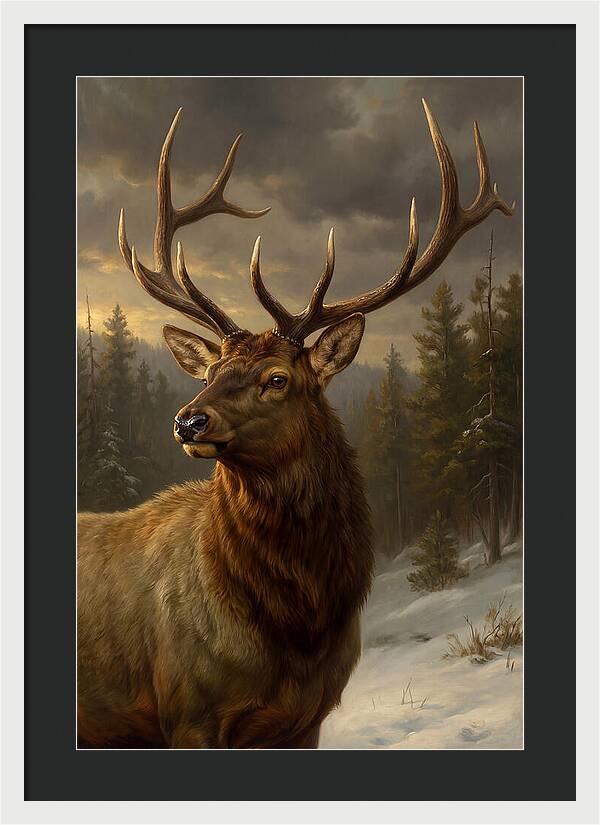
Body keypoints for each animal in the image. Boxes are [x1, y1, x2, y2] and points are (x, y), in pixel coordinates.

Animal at [77, 100, 514, 749]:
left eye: (278, 378)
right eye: (210, 371)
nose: (188, 420)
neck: (297, 629)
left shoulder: (306, 718)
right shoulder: (186, 711)